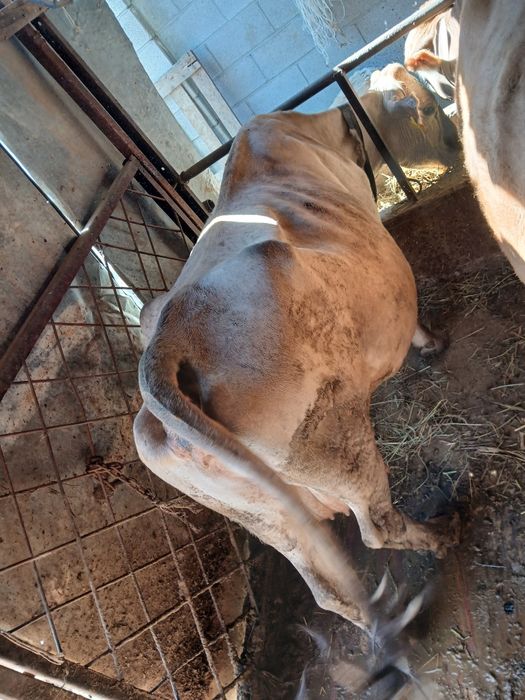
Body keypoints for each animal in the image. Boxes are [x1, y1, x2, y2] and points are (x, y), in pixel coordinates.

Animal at [134, 63, 459, 631]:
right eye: (428, 106)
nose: (457, 141)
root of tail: (167, 345)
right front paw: (433, 342)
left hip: (269, 517)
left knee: (328, 592)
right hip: (337, 445)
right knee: (377, 526)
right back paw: (441, 535)